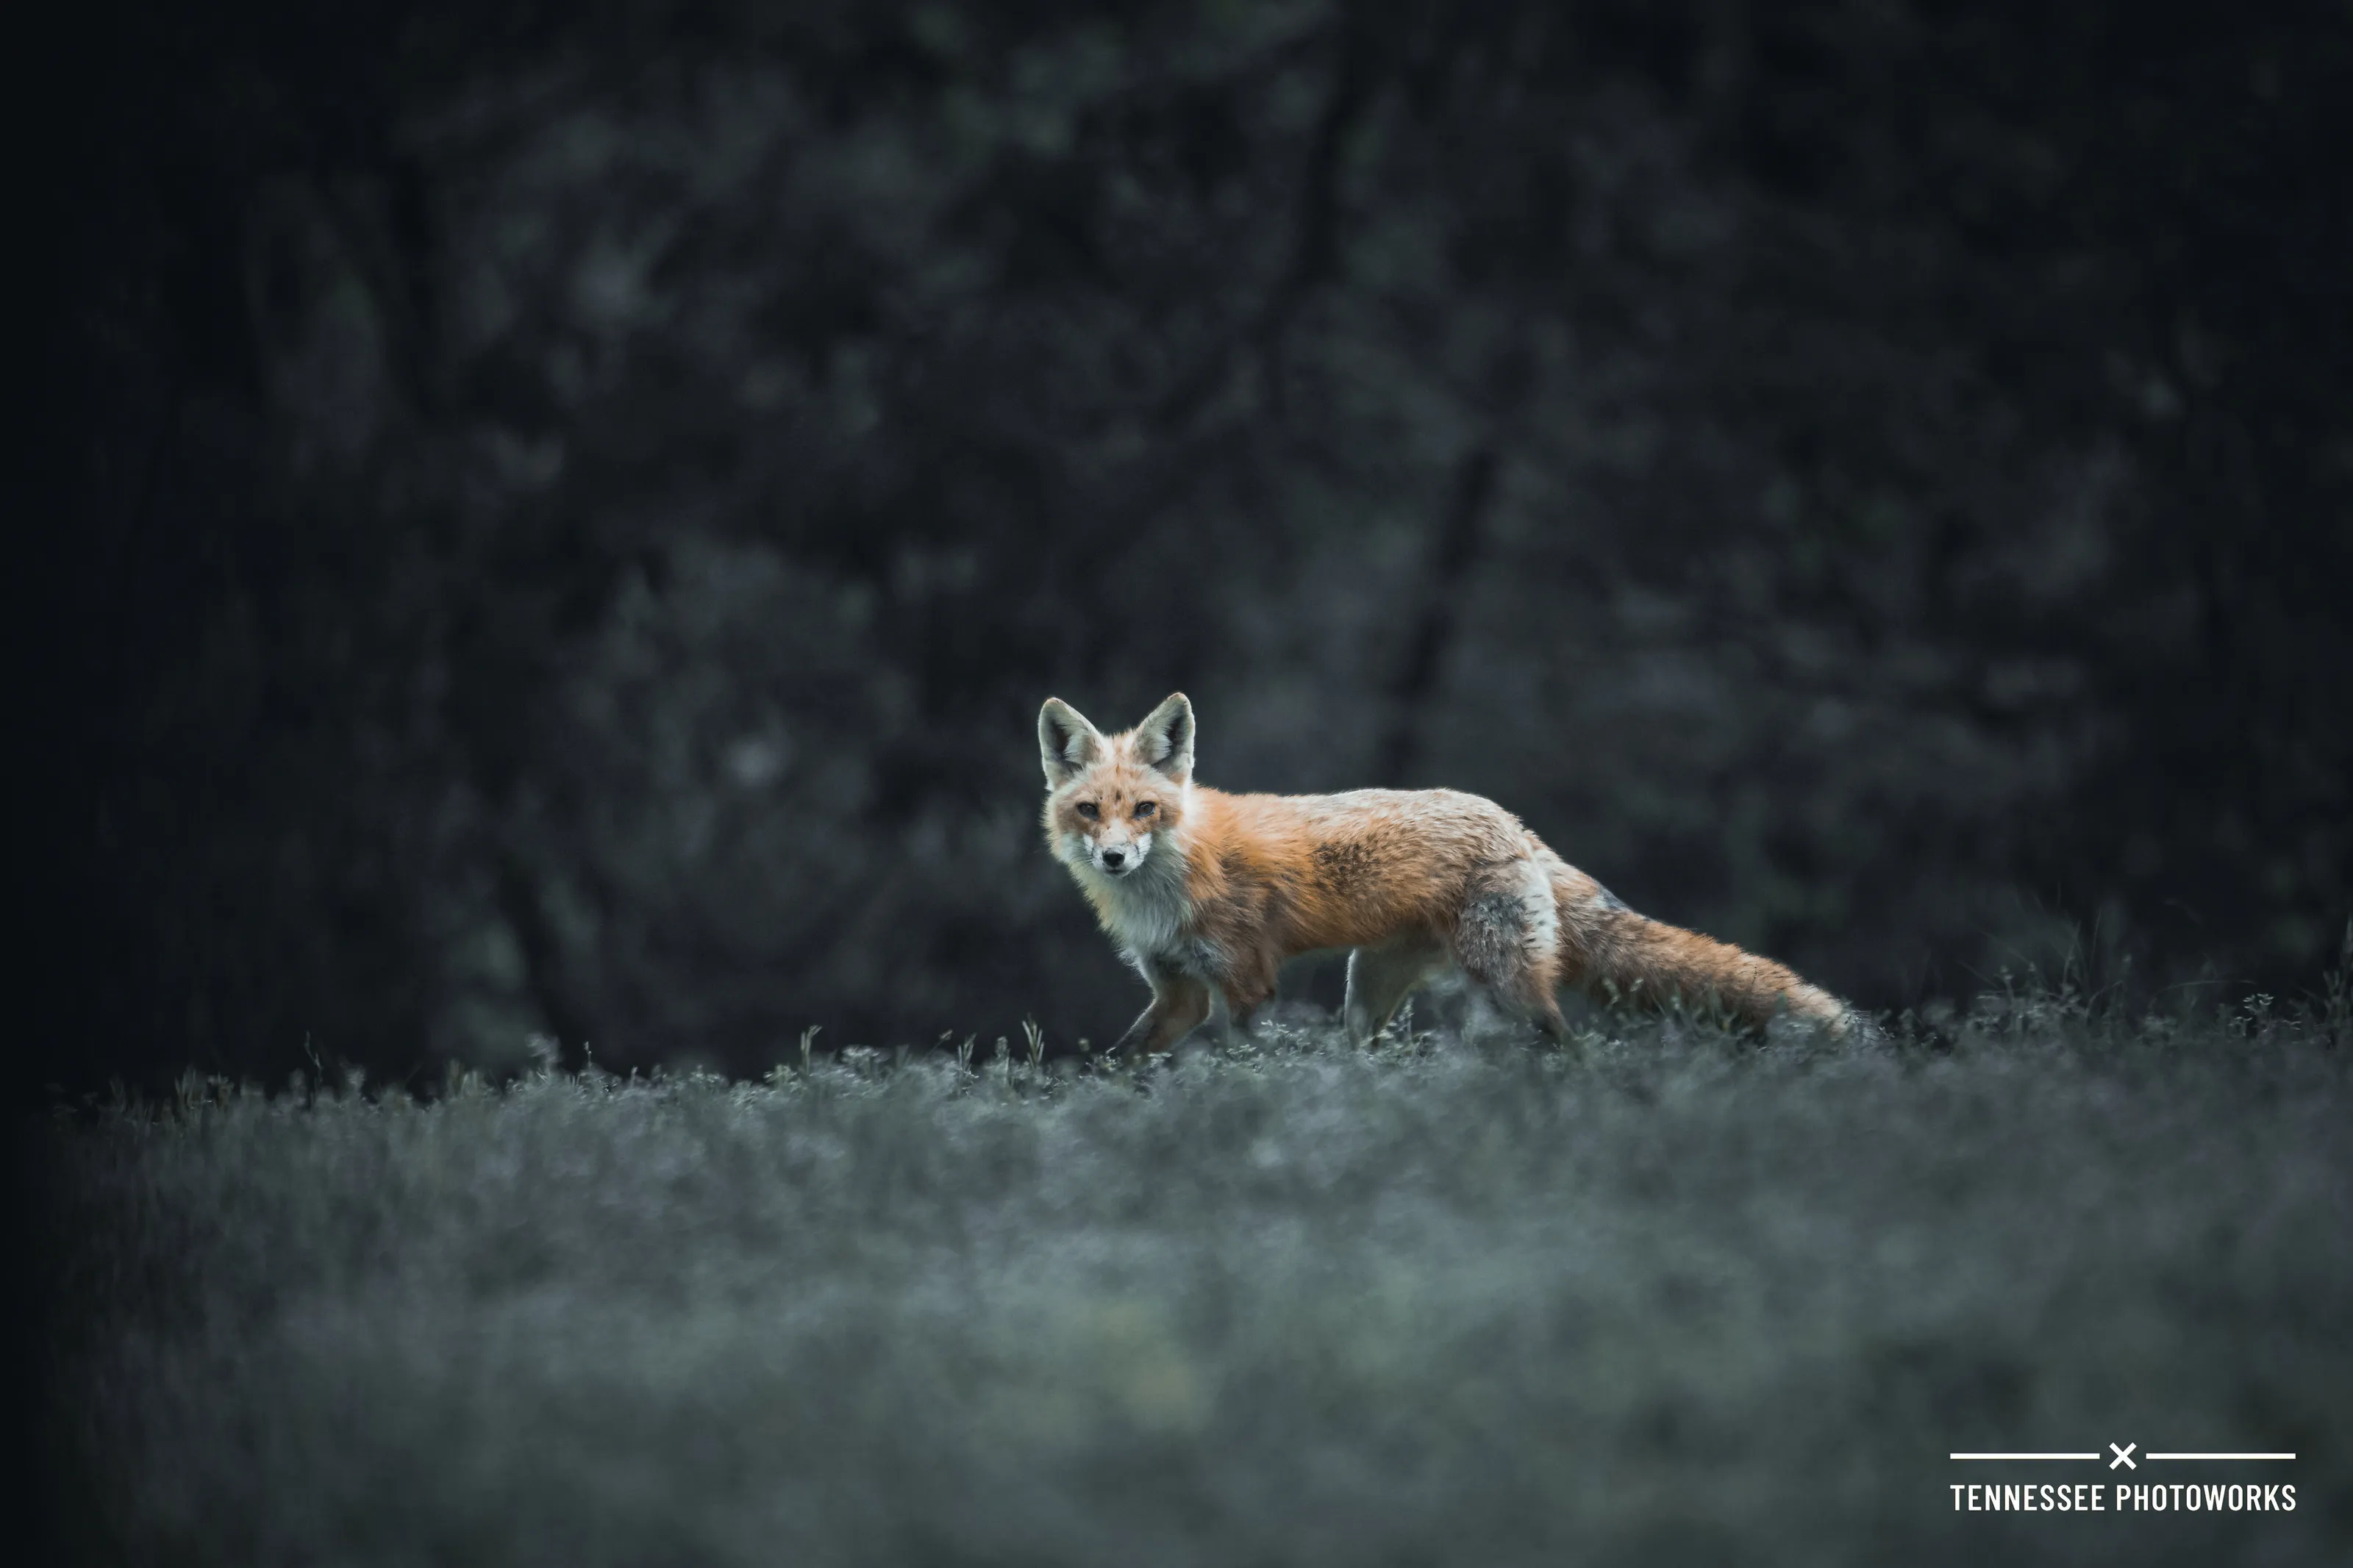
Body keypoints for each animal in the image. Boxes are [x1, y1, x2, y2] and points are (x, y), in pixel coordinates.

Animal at [1039, 692, 1854, 1055]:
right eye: (1090, 811)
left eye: (1145, 809)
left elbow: (1247, 1060)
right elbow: (1116, 1064)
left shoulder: (1244, 984)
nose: (1113, 857)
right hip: (1368, 990)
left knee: (1567, 1042)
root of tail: (1513, 822)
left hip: (1505, 982)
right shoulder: (1176, 992)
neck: (1166, 885)